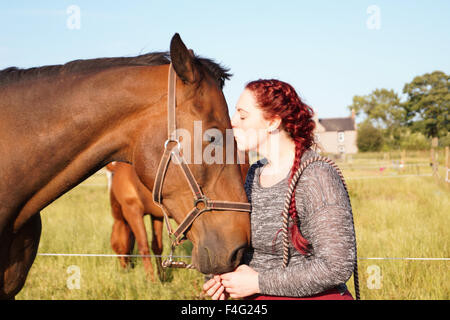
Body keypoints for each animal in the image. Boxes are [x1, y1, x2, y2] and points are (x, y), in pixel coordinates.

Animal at [107, 152, 250, 280]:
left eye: (115, 247)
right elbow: (156, 246)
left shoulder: (132, 211)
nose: (125, 269)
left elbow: (144, 247)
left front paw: (151, 280)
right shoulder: (157, 216)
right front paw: (162, 277)